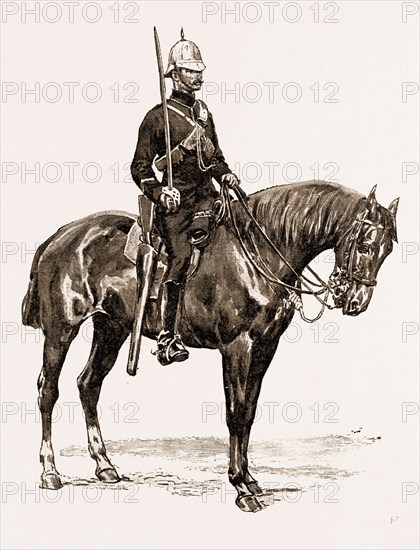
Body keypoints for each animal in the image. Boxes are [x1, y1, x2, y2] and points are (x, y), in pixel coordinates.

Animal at [22, 180, 398, 512]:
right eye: (365, 243)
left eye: (388, 249)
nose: (355, 301)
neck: (257, 252)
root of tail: (61, 236)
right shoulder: (237, 347)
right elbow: (236, 413)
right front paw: (240, 486)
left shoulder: (265, 347)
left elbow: (250, 413)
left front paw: (250, 480)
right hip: (61, 331)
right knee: (48, 391)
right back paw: (50, 472)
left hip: (111, 329)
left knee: (89, 385)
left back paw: (104, 465)